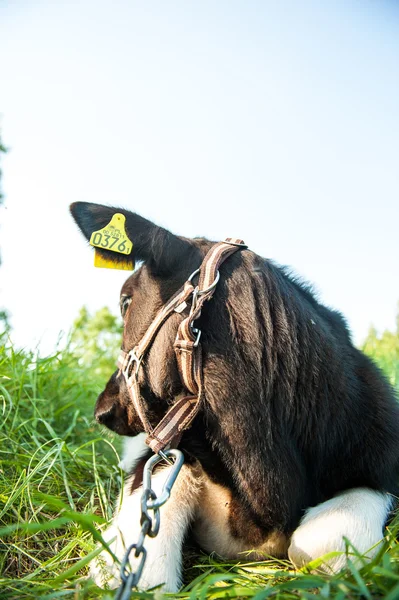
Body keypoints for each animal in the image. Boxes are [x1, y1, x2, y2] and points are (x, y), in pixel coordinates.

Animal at [70, 200, 398, 592]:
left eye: (124, 301)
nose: (102, 409)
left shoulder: (382, 466)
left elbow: (319, 542)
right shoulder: (165, 452)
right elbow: (141, 573)